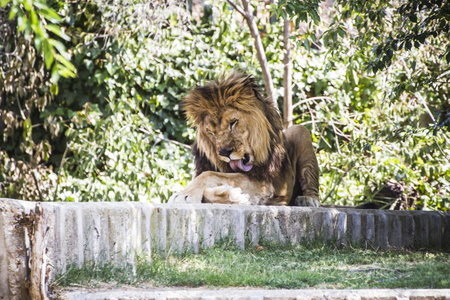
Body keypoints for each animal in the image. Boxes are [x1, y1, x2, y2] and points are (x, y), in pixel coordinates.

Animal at [169, 72, 320, 206]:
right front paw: (235, 195)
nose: (224, 153)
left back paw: (308, 199)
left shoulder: (268, 181)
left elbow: (210, 174)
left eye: (233, 122)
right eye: (210, 131)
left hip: (300, 130)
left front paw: (184, 194)